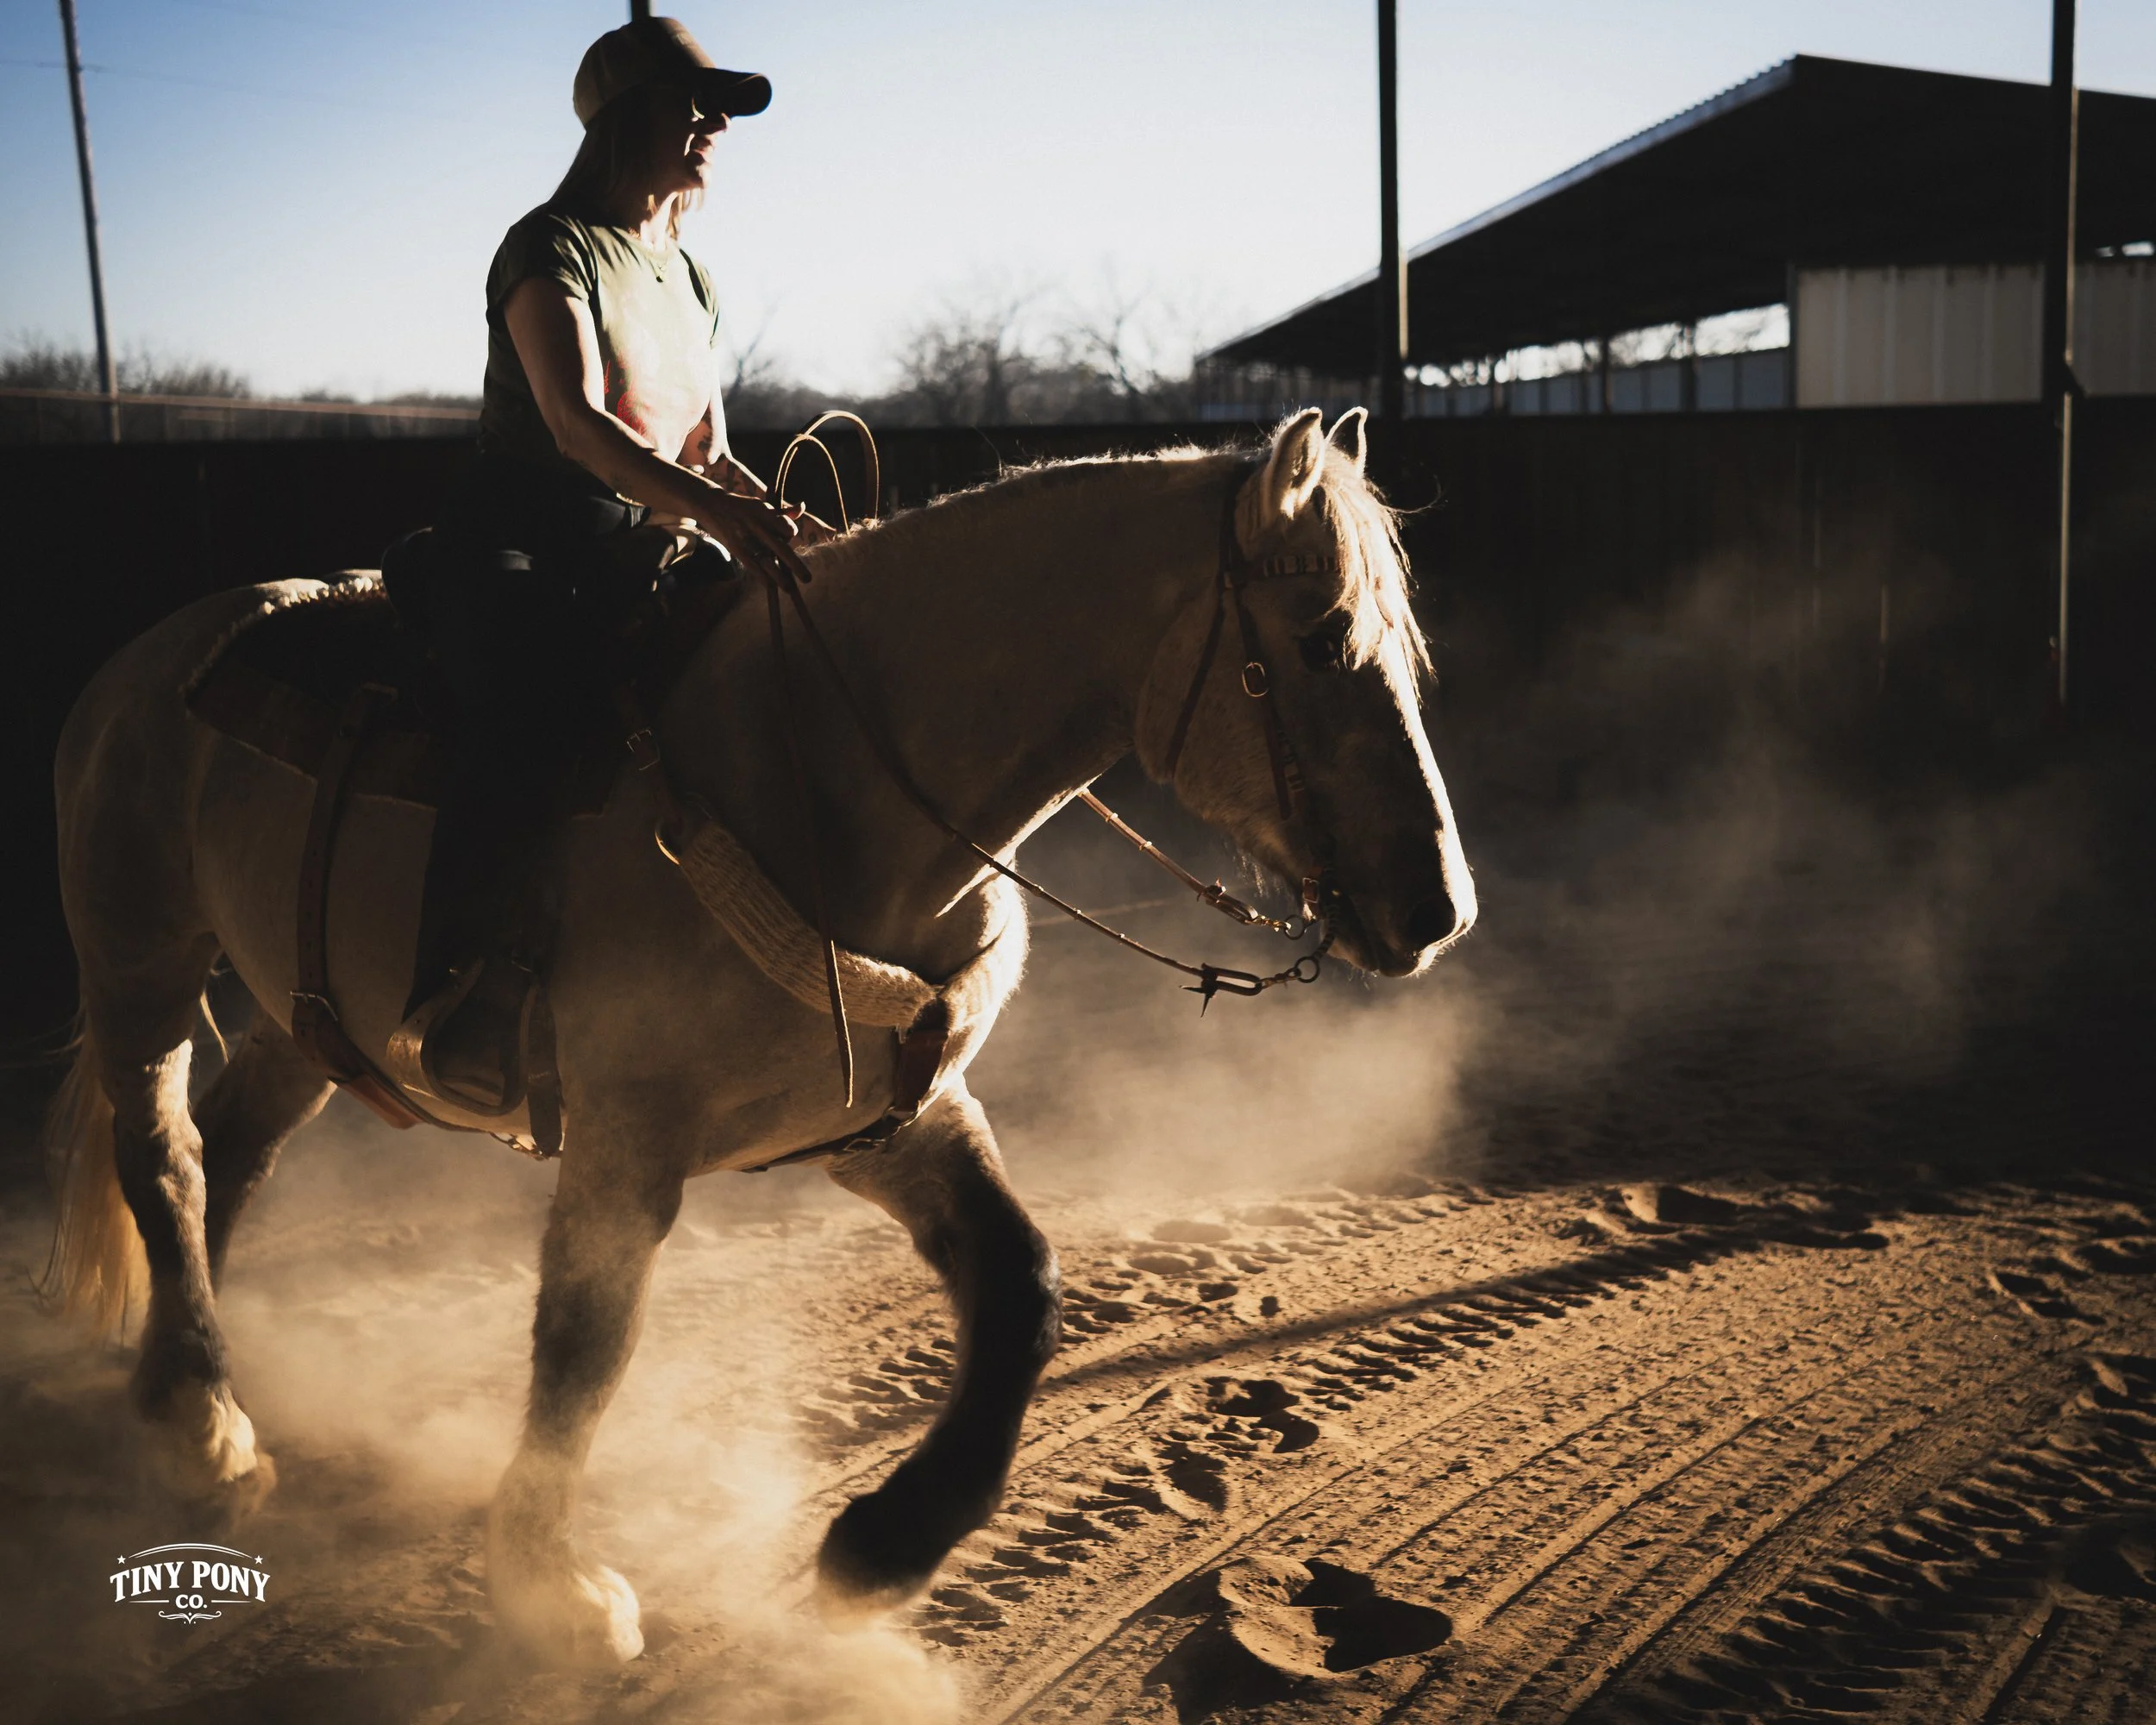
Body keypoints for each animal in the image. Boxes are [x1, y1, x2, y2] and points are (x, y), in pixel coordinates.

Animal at [42, 407, 1474, 1665]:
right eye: (1325, 639)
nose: (1438, 908)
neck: (823, 775)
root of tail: (142, 662)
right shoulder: (627, 1140)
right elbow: (586, 1343)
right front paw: (553, 1587)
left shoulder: (894, 1121)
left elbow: (1020, 1284)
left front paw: (885, 1549)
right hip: (144, 960)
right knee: (164, 1154)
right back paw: (205, 1427)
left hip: (303, 1014)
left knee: (229, 1152)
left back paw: (184, 1386)